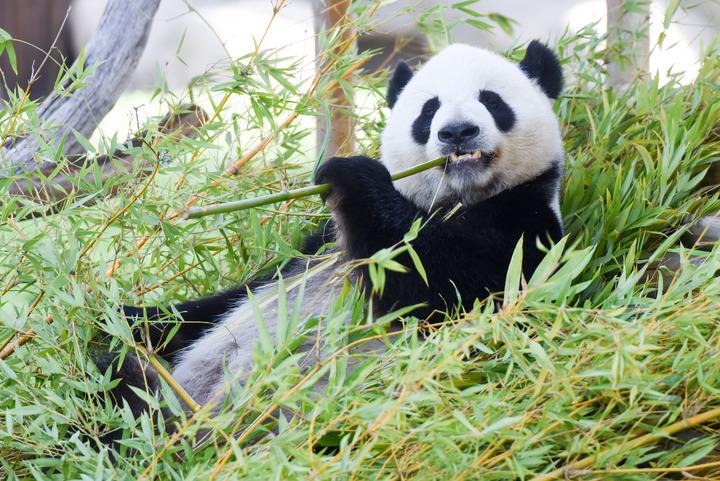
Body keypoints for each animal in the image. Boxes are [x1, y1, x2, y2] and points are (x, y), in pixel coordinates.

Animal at [104, 40, 565, 433]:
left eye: (492, 101)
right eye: (428, 110)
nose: (457, 132)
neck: (453, 200)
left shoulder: (529, 230)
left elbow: (443, 283)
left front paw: (352, 175)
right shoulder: (317, 245)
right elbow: (221, 302)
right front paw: (123, 316)